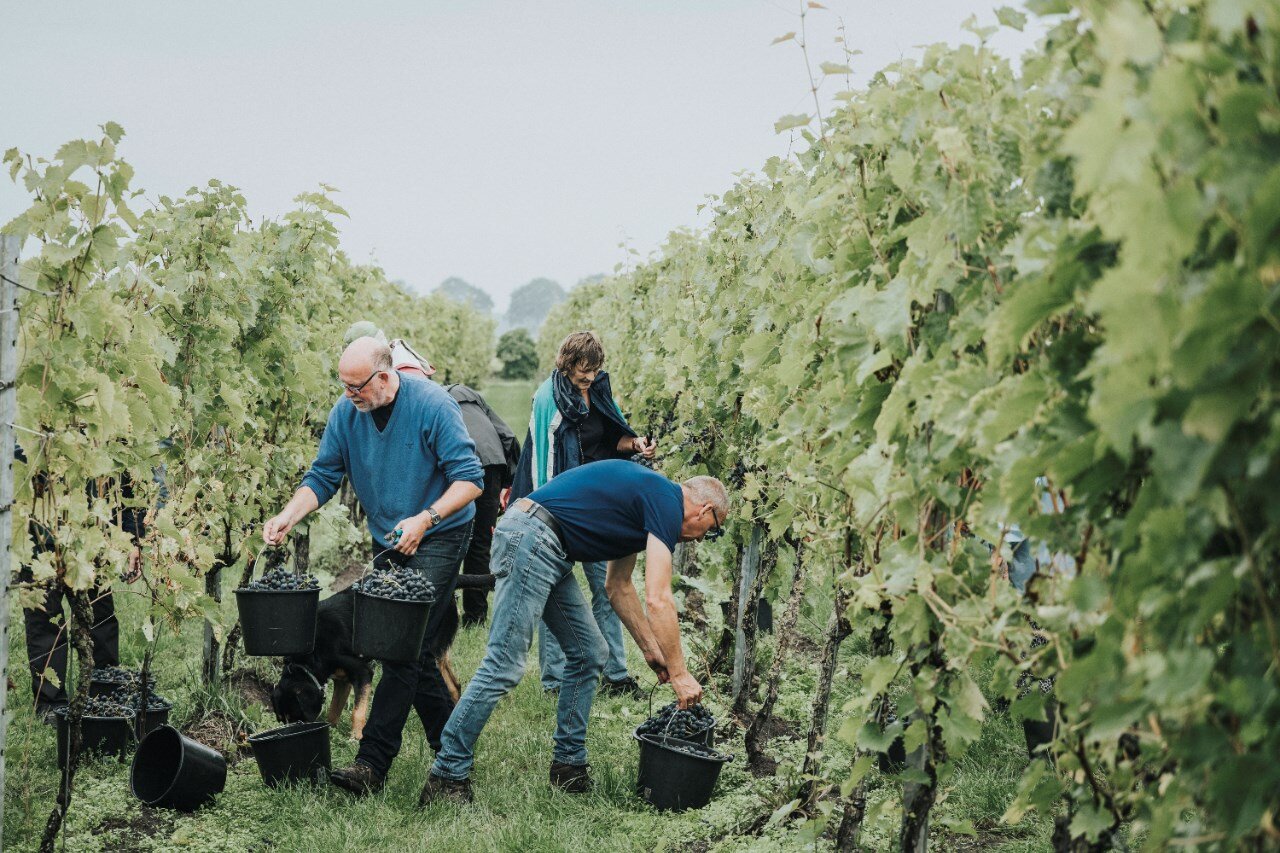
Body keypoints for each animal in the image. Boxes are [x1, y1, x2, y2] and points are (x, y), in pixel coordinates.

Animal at [267, 578, 491, 737]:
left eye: (297, 717)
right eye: (282, 719)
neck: (309, 658)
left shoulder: (362, 672)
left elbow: (357, 712)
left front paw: (356, 737)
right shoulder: (343, 679)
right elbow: (333, 711)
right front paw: (332, 732)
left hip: (430, 648)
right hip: (439, 653)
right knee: (454, 685)